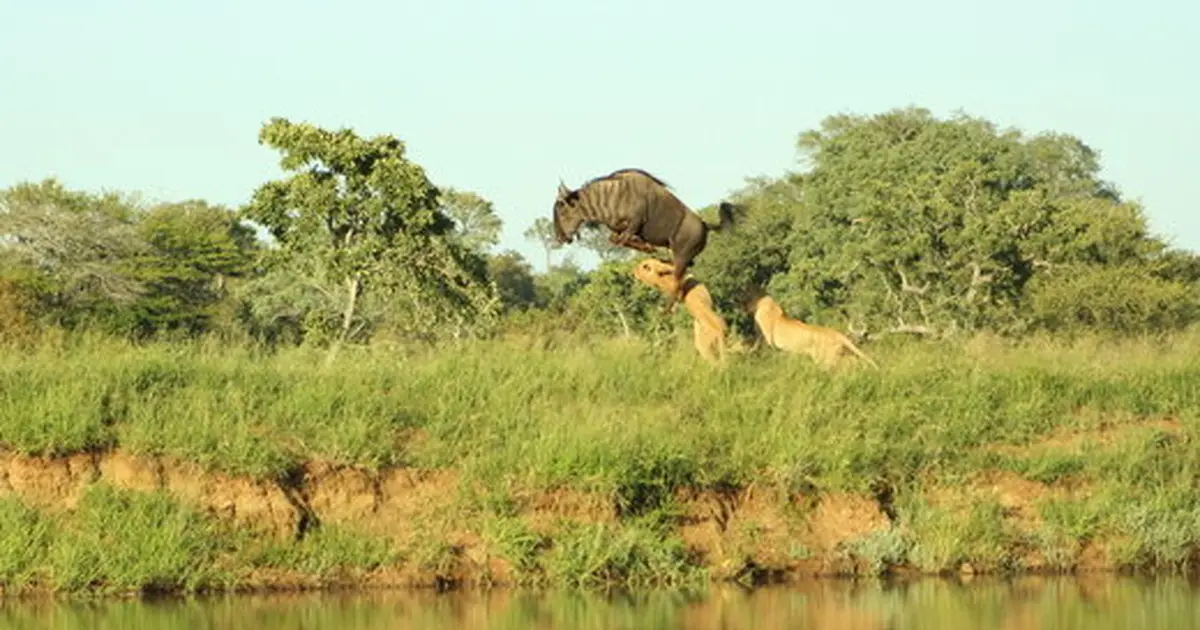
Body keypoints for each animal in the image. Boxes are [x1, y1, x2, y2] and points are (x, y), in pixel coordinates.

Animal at [739, 289, 883, 372]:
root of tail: (838, 335)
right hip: (837, 355)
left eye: (745, 296)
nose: (742, 305)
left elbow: (755, 344)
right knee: (852, 362)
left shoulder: (766, 338)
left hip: (826, 360)